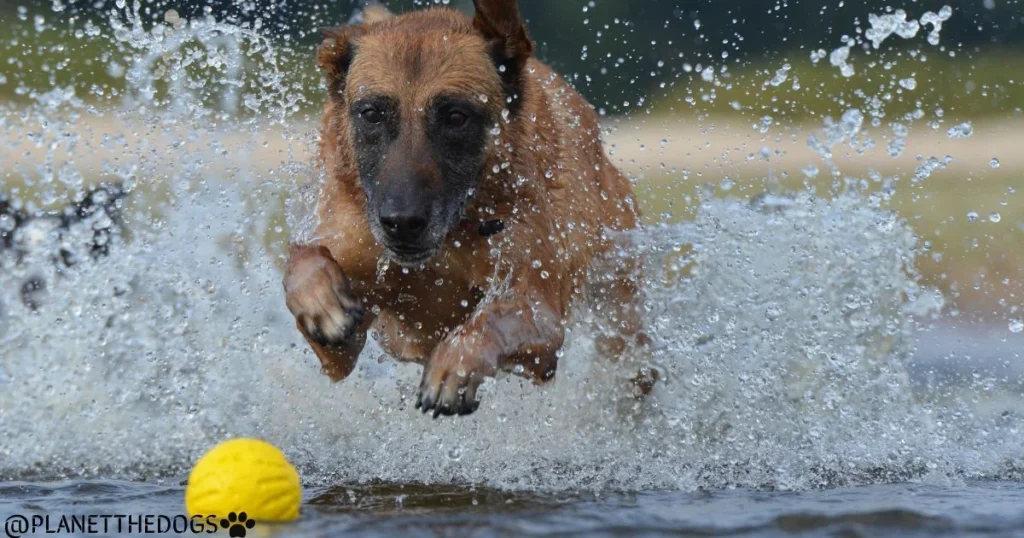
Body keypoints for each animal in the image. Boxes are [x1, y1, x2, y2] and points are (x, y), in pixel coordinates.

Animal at [282, 0, 647, 418]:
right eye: (371, 113)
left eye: (456, 117)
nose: (402, 223)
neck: (448, 244)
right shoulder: (341, 345)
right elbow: (304, 259)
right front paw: (319, 300)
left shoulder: (542, 320)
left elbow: (494, 319)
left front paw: (454, 365)